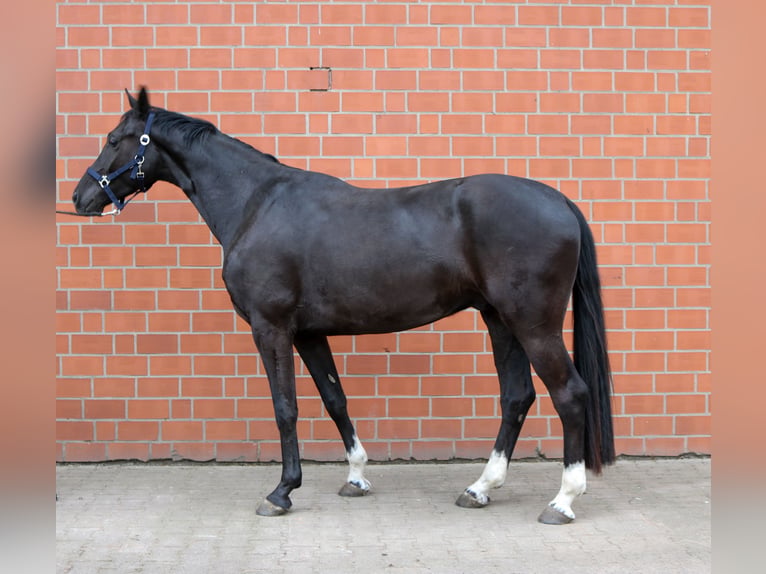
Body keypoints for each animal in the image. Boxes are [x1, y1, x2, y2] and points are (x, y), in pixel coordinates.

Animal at [68, 87, 614, 524]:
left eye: (115, 138)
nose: (80, 198)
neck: (256, 204)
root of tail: (560, 201)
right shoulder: (310, 333)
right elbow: (334, 400)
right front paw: (355, 477)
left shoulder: (271, 328)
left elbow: (285, 407)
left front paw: (282, 492)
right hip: (500, 319)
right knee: (517, 397)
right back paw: (480, 488)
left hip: (533, 324)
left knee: (569, 394)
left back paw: (562, 501)